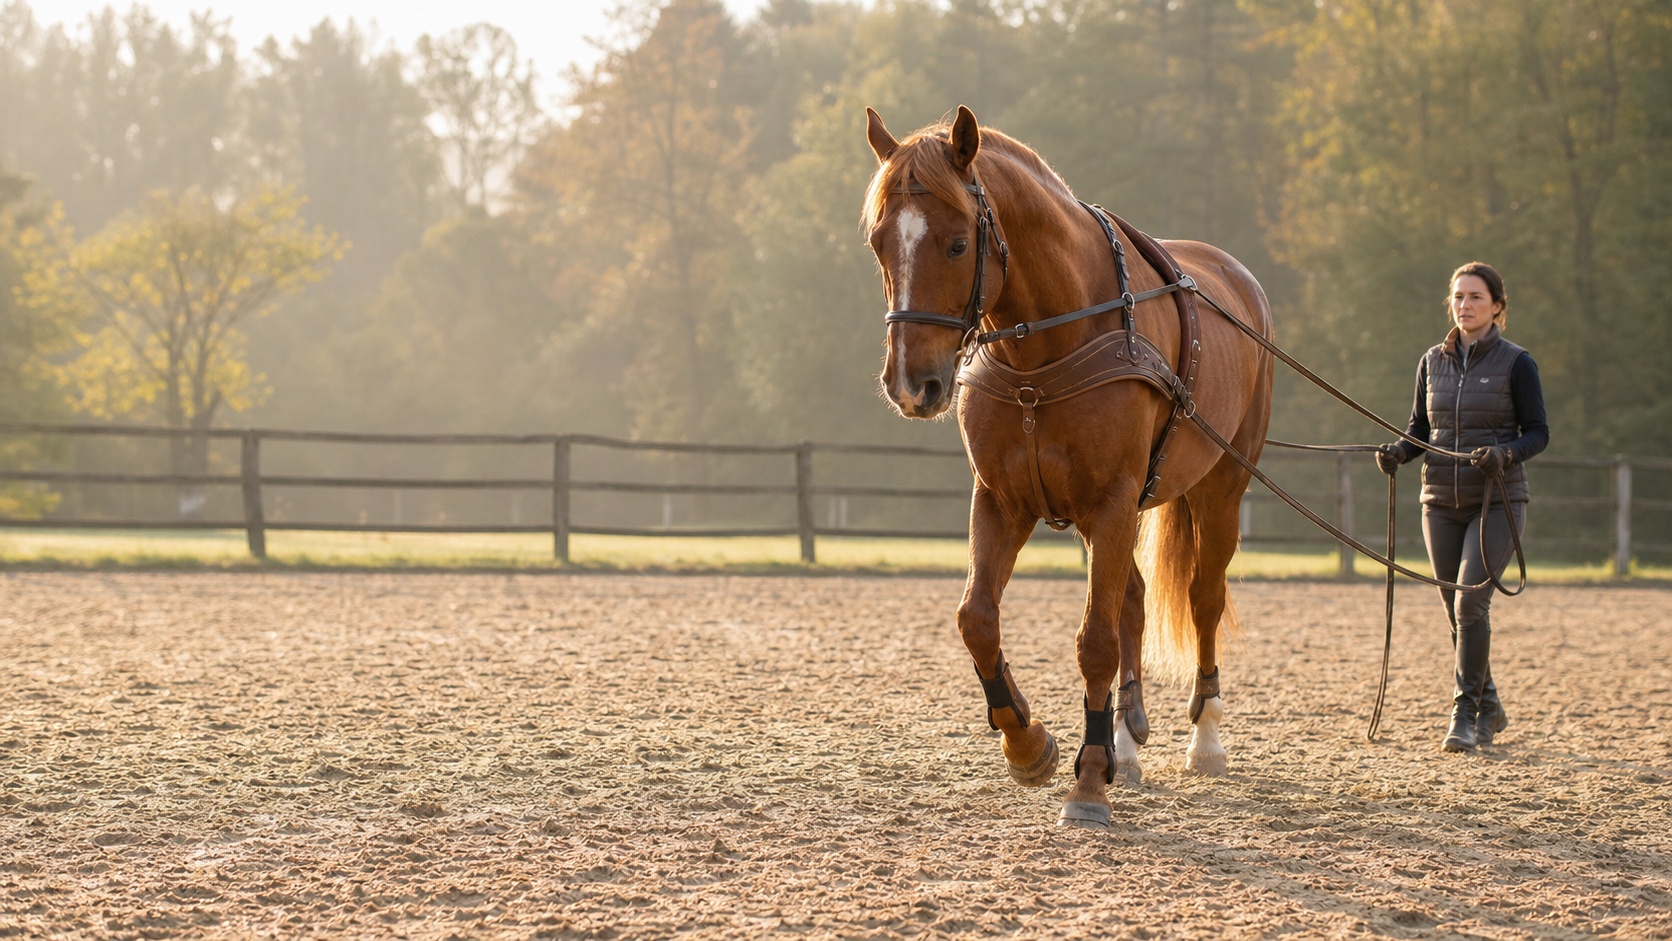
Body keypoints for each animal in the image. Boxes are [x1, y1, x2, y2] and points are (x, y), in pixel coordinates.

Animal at [862, 106, 1274, 830]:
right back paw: (1126, 747)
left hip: (1220, 487)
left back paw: (1204, 738)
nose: (913, 384)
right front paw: (1030, 744)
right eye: (881, 243)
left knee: (1203, 597)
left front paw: (1088, 782)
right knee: (1133, 598)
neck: (1049, 343)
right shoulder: (1004, 500)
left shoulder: (1111, 502)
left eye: (957, 244)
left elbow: (1096, 642)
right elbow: (977, 619)